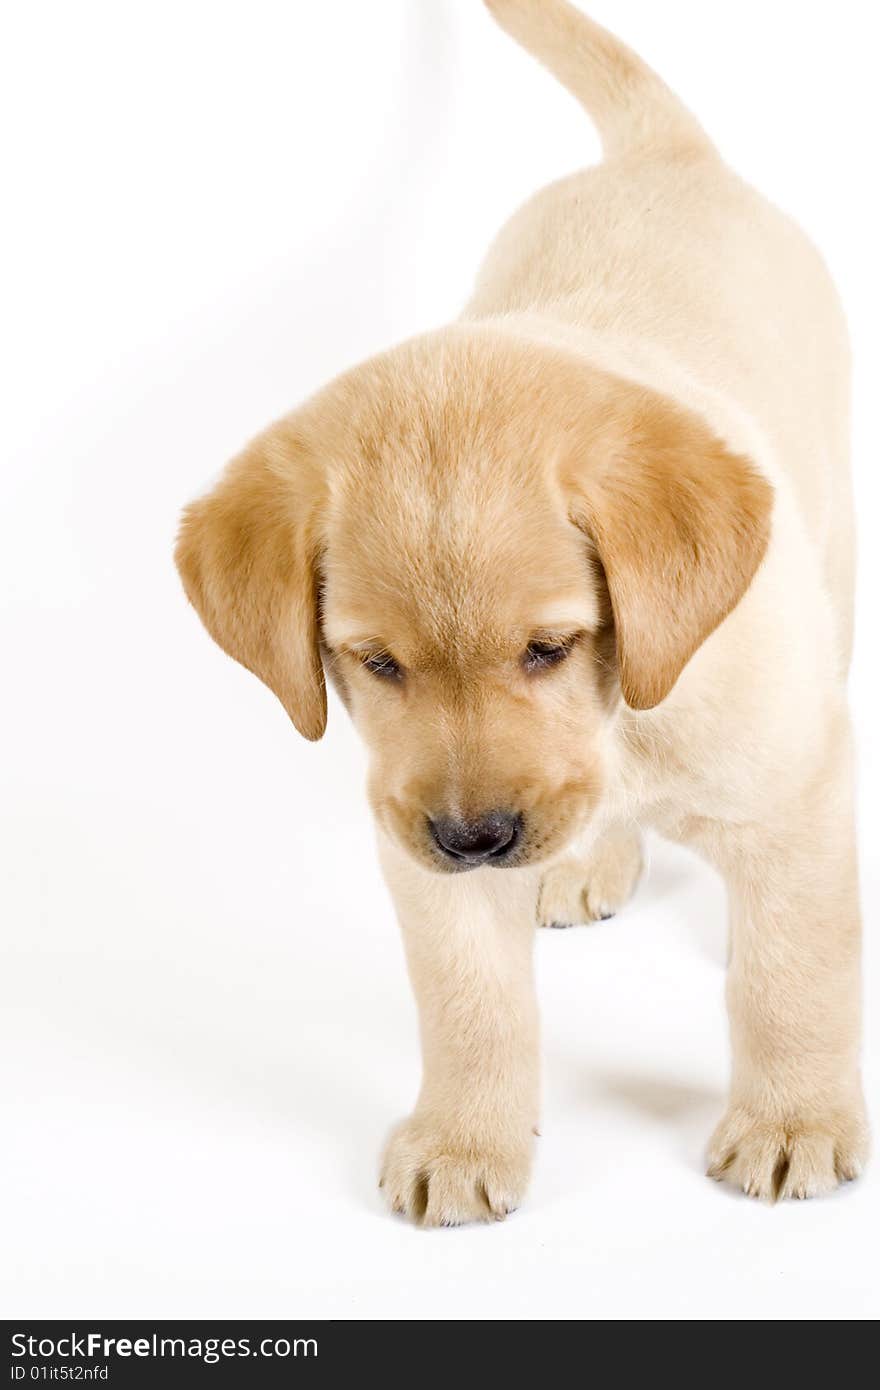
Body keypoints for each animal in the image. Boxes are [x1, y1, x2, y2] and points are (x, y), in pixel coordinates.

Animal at [176, 0, 867, 1223]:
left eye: (550, 647)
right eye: (374, 663)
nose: (477, 838)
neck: (625, 723)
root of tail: (661, 154)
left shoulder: (796, 778)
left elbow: (794, 969)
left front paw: (793, 1119)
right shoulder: (412, 841)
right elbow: (469, 1001)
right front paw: (466, 1137)